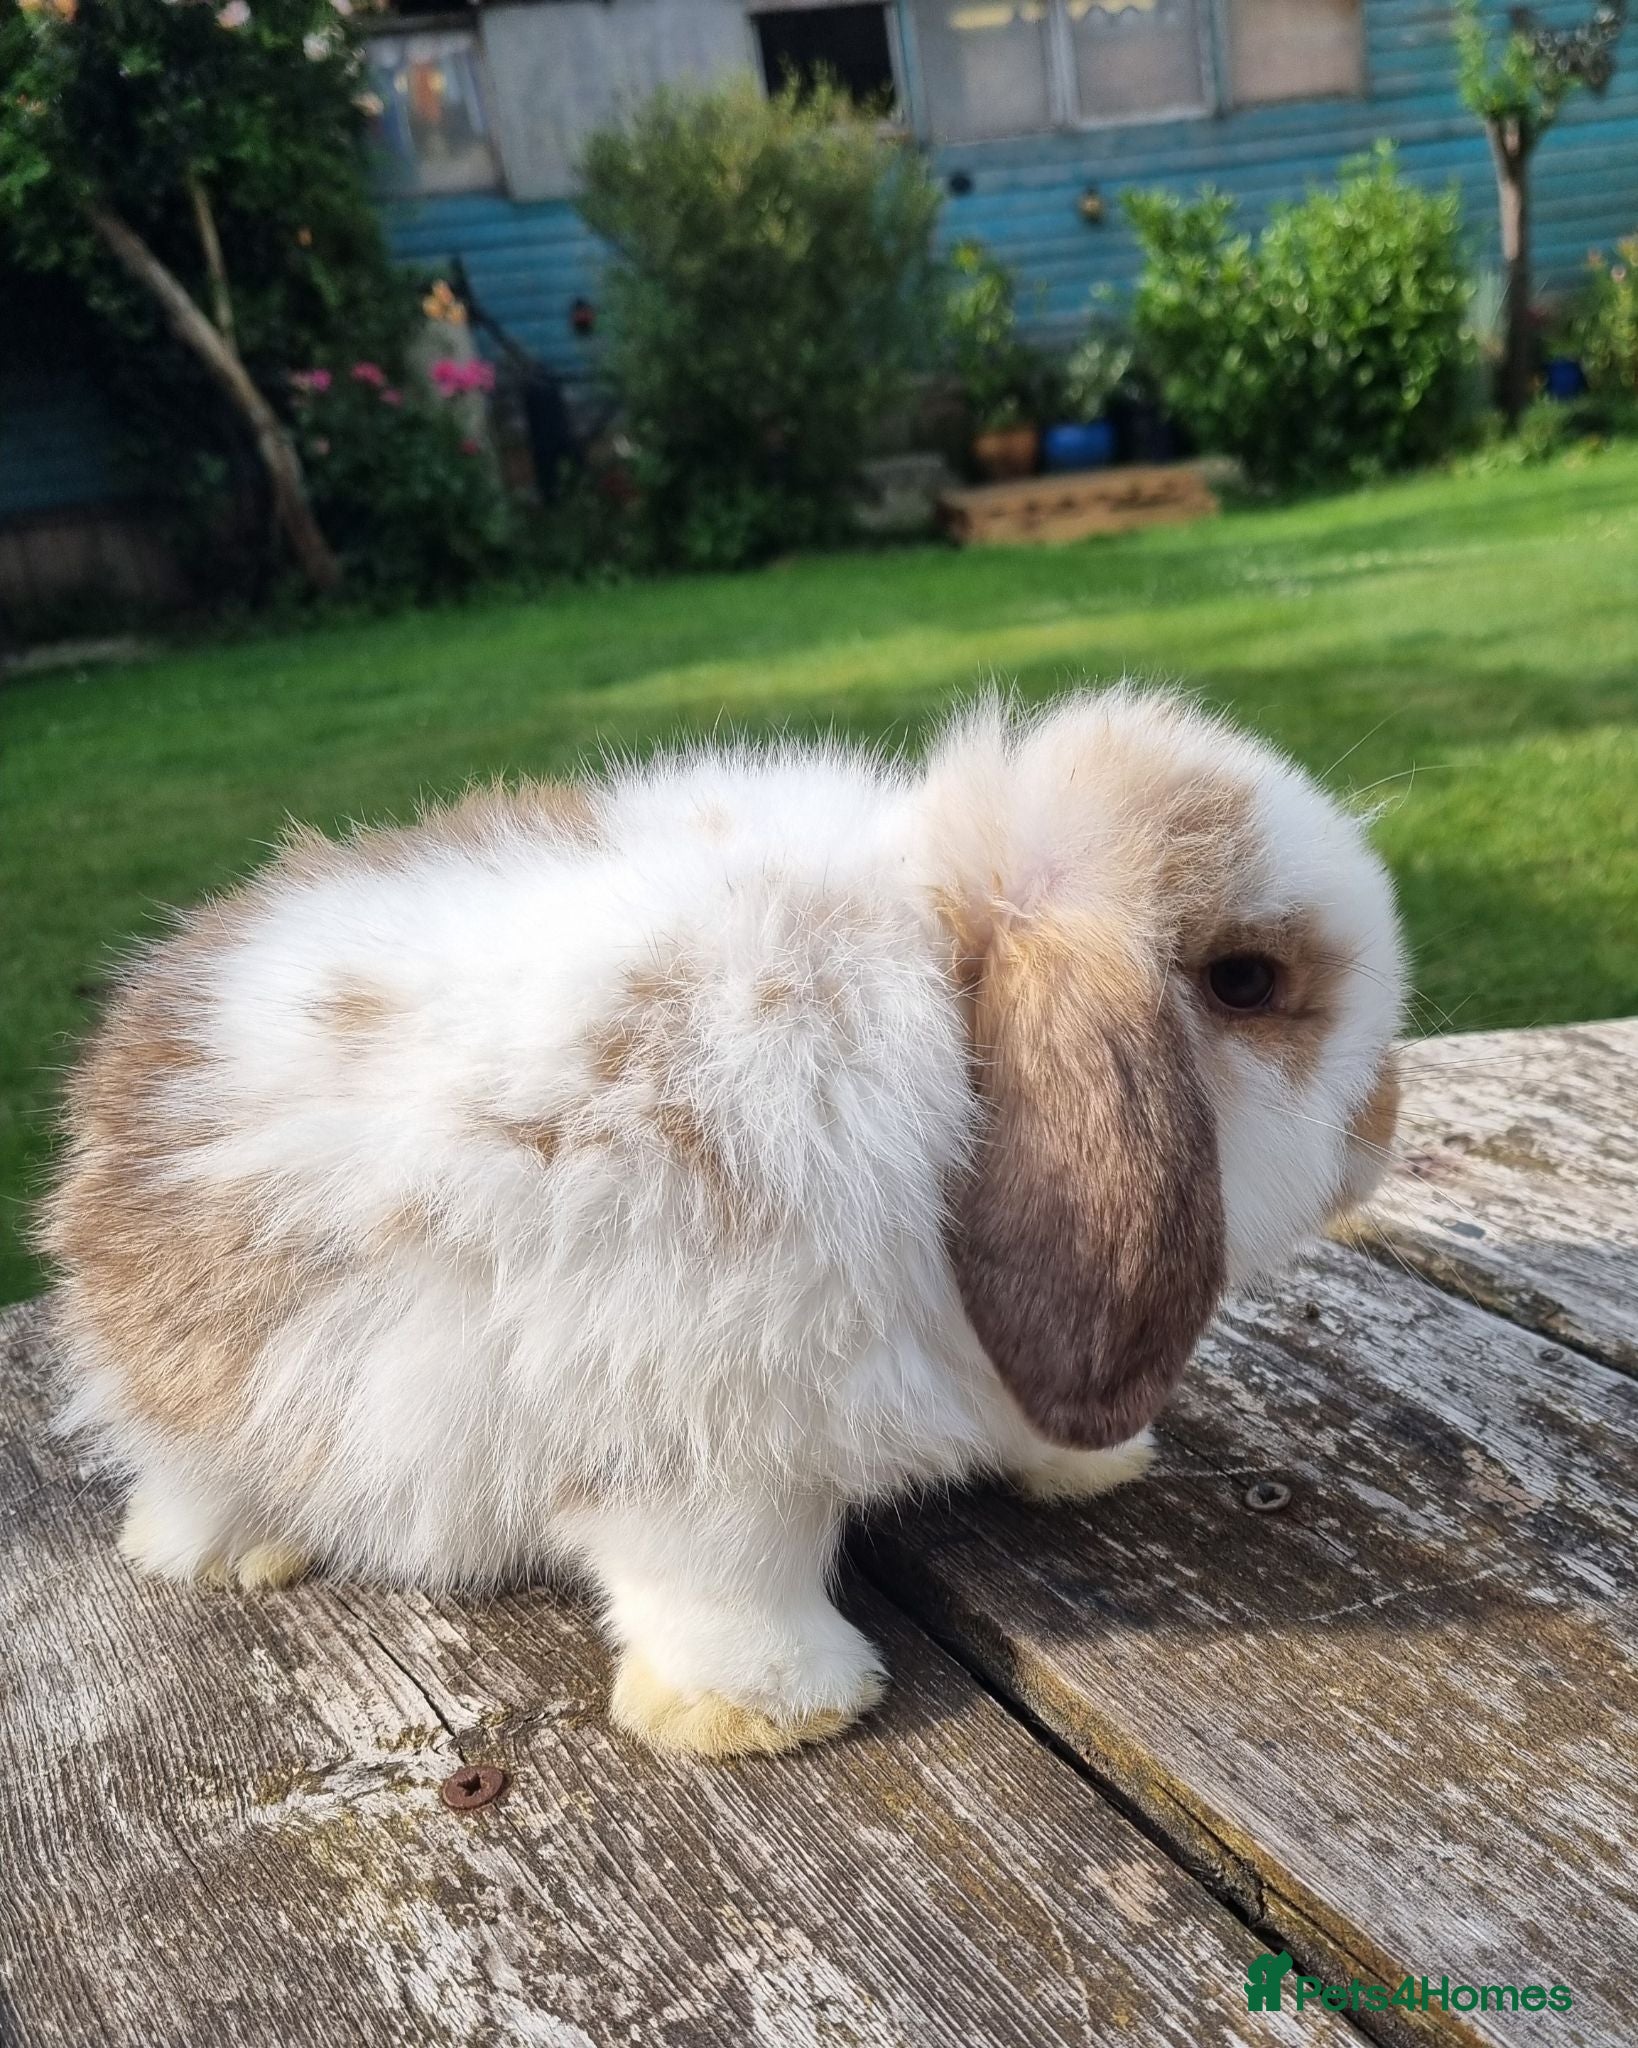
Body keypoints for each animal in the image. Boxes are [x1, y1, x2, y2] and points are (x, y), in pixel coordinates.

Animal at [43, 688, 1405, 1759]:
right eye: (1247, 981)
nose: (1382, 1123)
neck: (952, 1014)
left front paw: (1092, 1467)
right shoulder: (694, 1442)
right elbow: (724, 1582)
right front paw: (777, 1711)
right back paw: (237, 1552)